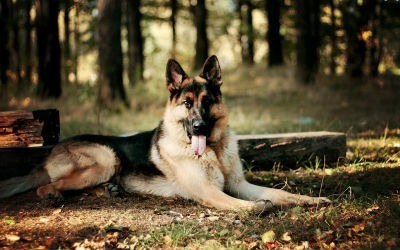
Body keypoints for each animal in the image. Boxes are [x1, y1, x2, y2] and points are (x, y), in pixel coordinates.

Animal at [0, 55, 328, 210]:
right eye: (187, 103)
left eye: (207, 102)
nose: (198, 127)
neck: (213, 151)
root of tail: (48, 154)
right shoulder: (208, 191)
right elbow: (242, 203)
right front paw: (257, 208)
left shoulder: (240, 184)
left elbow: (279, 192)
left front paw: (309, 200)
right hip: (106, 158)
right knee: (46, 187)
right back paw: (55, 195)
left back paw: (110, 190)